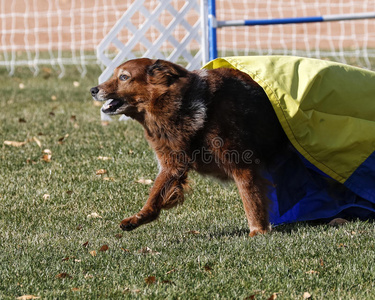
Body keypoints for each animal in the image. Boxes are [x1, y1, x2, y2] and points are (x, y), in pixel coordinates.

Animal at [90, 58, 288, 237]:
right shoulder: (172, 164)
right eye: (114, 75)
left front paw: (258, 230)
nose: (93, 90)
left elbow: (251, 199)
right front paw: (138, 218)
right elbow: (155, 195)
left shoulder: (242, 165)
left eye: (124, 77)